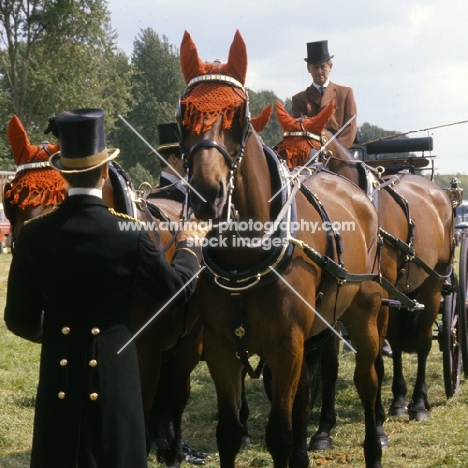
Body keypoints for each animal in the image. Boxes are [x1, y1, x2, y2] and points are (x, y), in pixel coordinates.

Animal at [178, 30, 392, 468]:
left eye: (239, 116)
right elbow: (229, 432)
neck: (245, 259)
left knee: (368, 377)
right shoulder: (221, 347)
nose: (207, 194)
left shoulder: (286, 344)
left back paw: (374, 443)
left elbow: (279, 432)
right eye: (183, 115)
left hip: (364, 310)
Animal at [274, 101, 454, 450]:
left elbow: (376, 358)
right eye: (279, 152)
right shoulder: (338, 294)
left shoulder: (375, 296)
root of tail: (437, 190)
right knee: (398, 341)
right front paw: (323, 430)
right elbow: (331, 366)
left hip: (434, 283)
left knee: (423, 341)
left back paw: (418, 404)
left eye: (314, 156)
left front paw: (378, 422)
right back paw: (399, 400)